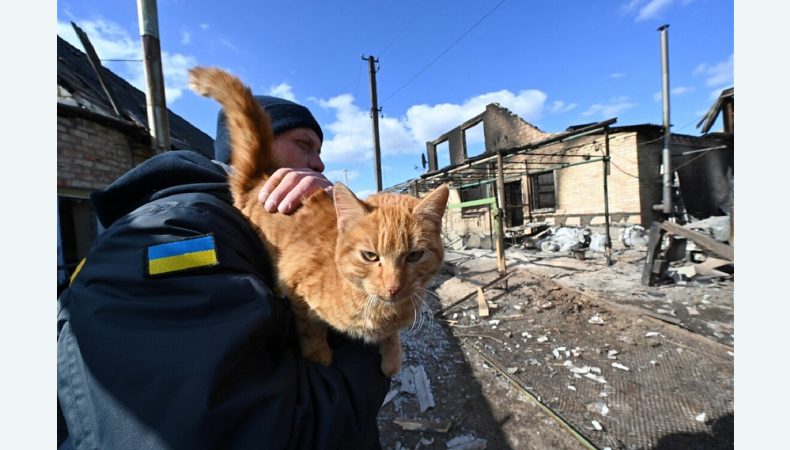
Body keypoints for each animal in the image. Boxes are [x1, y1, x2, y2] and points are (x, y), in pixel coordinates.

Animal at [189, 67, 448, 376]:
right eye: (370, 256)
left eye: (415, 255)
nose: (393, 287)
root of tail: (261, 176)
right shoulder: (298, 288)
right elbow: (311, 329)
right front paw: (319, 356)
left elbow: (390, 336)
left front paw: (392, 357)